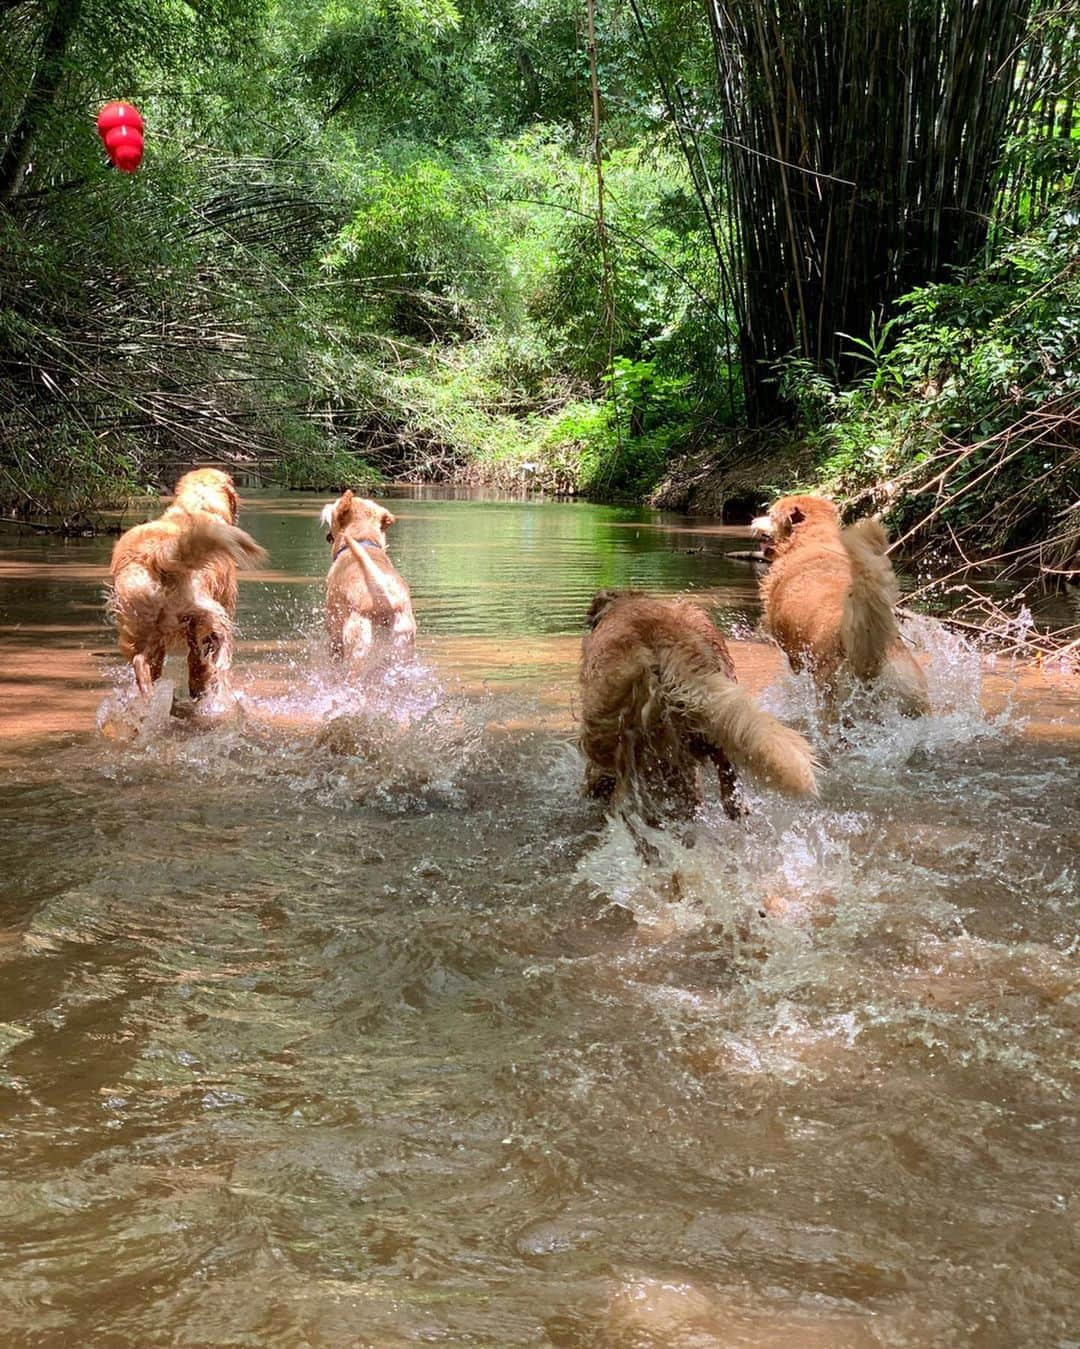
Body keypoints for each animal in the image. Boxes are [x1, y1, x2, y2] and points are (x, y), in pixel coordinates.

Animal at [107, 469, 265, 701]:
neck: (197, 506)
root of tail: (157, 554)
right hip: (206, 615)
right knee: (209, 655)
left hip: (142, 626)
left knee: (142, 663)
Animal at [318, 493, 415, 666]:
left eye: (335, 505)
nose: (326, 505)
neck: (363, 540)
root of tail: (383, 599)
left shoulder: (334, 634)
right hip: (403, 646)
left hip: (357, 646)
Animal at [749, 493, 927, 717]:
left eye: (771, 515)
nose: (752, 521)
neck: (812, 538)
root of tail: (869, 663)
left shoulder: (792, 652)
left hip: (830, 698)